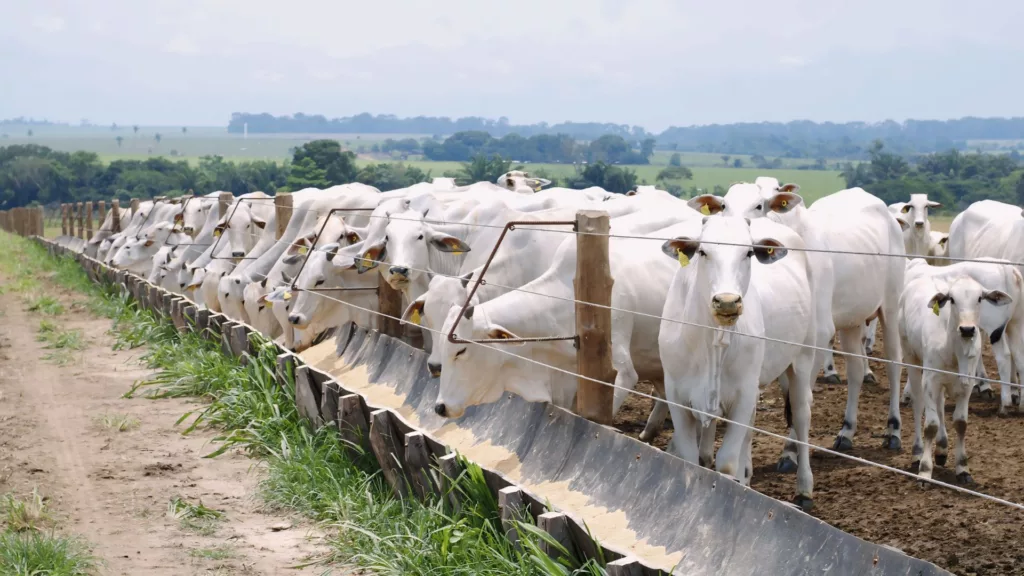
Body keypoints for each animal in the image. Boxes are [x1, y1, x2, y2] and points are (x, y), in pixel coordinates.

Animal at [901, 270, 1011, 481]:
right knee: (918, 405)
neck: (952, 349)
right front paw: (925, 471)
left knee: (941, 405)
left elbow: (960, 423)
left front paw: (962, 468)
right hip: (911, 357)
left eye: (979, 298)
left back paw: (942, 449)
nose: (967, 329)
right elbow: (931, 425)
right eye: (952, 299)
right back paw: (917, 452)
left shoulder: (966, 384)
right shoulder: (930, 380)